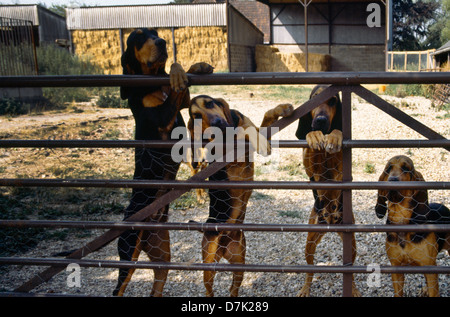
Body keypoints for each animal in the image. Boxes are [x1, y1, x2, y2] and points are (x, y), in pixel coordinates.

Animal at [188, 94, 294, 296]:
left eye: (210, 103)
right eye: (196, 116)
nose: (218, 123)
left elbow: (262, 120)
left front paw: (282, 108)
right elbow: (243, 132)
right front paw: (256, 139)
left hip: (239, 263)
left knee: (233, 288)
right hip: (208, 264)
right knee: (208, 289)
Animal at [294, 84, 360, 296]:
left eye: (332, 101)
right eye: (315, 98)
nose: (321, 121)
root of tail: (330, 223)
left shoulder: (341, 167)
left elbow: (337, 133)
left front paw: (334, 136)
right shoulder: (311, 169)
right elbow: (310, 145)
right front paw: (314, 135)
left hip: (351, 244)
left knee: (351, 271)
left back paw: (353, 289)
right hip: (310, 242)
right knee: (310, 269)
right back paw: (305, 288)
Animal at [374, 154, 448, 296]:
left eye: (406, 168)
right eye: (388, 169)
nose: (392, 180)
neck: (401, 220)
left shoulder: (430, 267)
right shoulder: (396, 268)